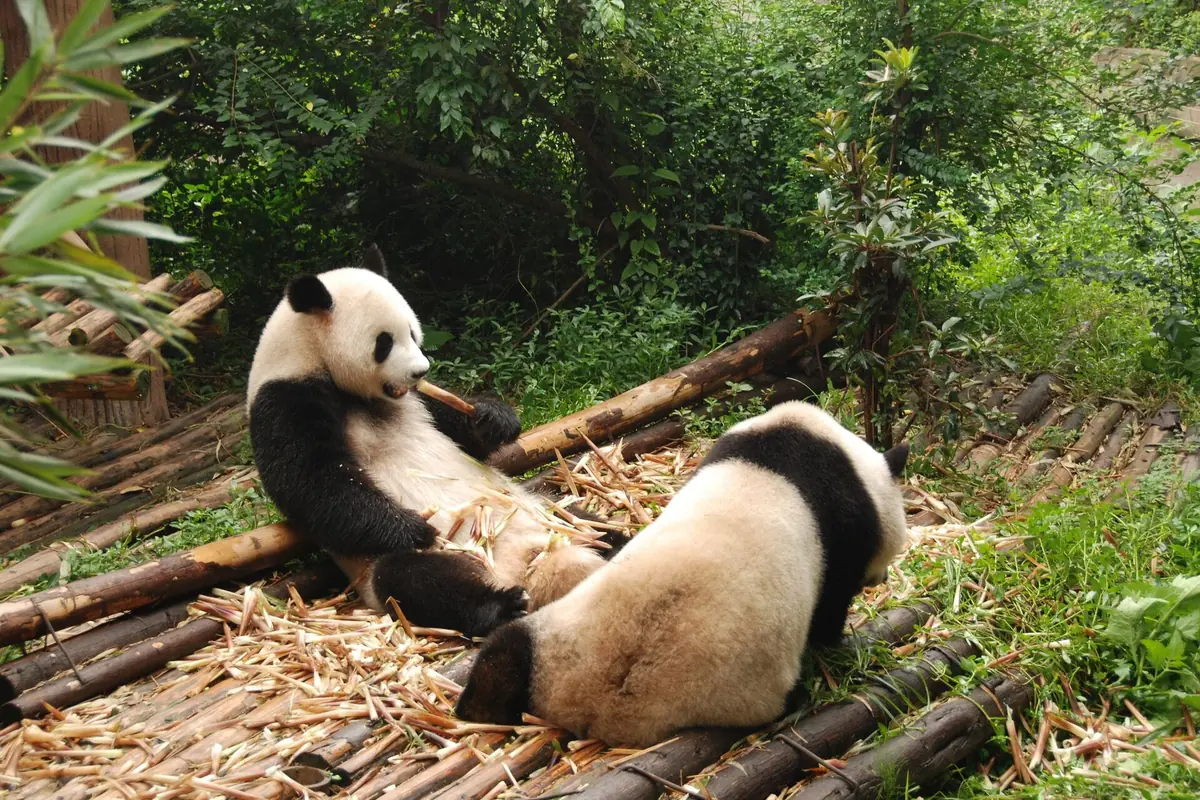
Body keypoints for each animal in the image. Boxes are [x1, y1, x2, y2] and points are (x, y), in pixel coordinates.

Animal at [247, 247, 620, 637]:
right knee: (419, 581)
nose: (420, 370)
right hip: (409, 562)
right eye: (384, 342)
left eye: (413, 333)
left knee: (583, 519)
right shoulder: (286, 399)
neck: (308, 354)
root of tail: (532, 562)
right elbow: (312, 483)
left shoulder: (417, 398)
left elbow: (459, 427)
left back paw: (616, 542)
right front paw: (414, 527)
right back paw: (502, 604)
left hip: (536, 508)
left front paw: (493, 418)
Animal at [455, 400, 909, 747]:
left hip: (555, 638)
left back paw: (474, 706)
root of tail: (604, 705)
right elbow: (832, 601)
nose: (883, 579)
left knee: (502, 655)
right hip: (740, 690)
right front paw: (838, 636)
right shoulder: (844, 524)